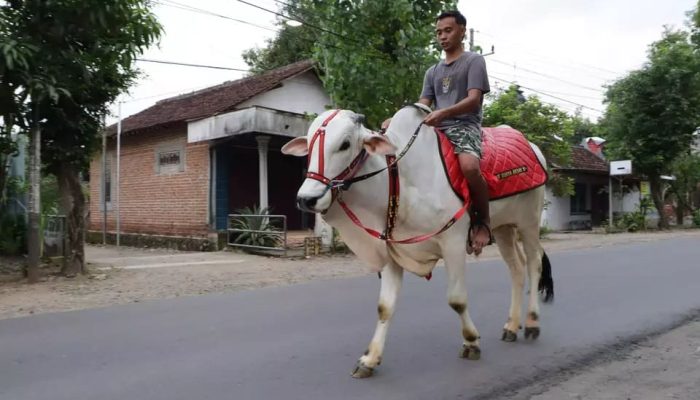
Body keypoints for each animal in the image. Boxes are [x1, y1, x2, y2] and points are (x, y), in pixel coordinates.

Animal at [282, 103, 556, 378]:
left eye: (345, 144)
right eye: (309, 144)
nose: (306, 199)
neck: (398, 182)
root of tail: (533, 147)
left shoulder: (453, 242)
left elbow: (457, 300)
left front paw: (471, 342)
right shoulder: (391, 251)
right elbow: (385, 306)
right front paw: (369, 359)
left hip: (529, 222)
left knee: (533, 264)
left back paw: (531, 322)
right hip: (502, 228)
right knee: (516, 269)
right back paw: (511, 326)